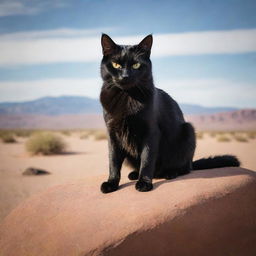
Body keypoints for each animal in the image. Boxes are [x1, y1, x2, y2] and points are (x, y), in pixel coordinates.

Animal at [99, 33, 239, 193]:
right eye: (116, 65)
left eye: (136, 65)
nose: (125, 76)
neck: (127, 97)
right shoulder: (112, 133)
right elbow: (113, 161)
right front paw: (111, 183)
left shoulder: (151, 132)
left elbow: (147, 159)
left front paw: (144, 182)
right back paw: (134, 173)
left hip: (188, 131)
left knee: (185, 168)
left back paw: (170, 173)